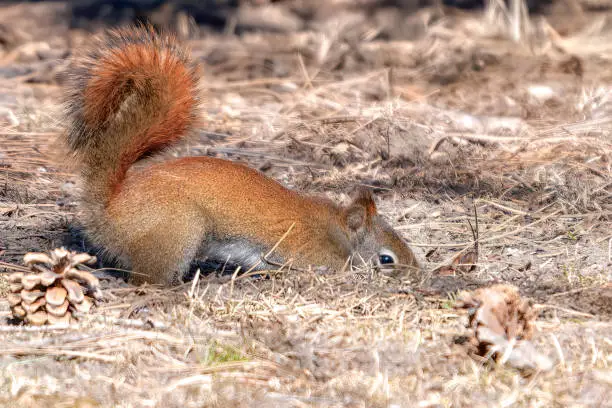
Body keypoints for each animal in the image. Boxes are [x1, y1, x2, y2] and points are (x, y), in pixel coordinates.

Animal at [63, 26, 420, 286]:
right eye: (386, 260)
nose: (417, 276)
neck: (337, 231)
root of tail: (110, 205)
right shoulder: (312, 255)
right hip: (177, 232)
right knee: (147, 279)